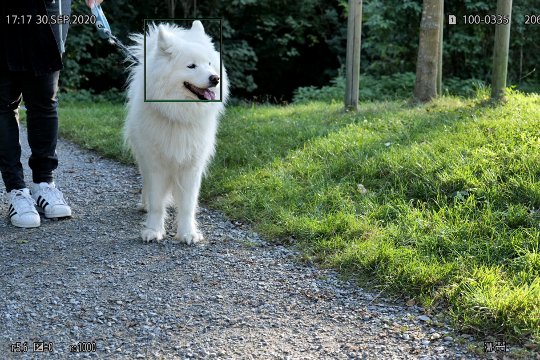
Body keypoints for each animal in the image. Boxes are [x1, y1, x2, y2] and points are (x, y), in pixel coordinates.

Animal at [124, 21, 228, 243]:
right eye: (191, 66)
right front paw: (153, 230)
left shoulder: (192, 166)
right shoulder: (156, 164)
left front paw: (188, 233)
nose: (215, 78)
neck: (179, 115)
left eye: (209, 64)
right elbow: (157, 203)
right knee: (146, 184)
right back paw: (144, 204)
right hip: (143, 158)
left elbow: (188, 205)